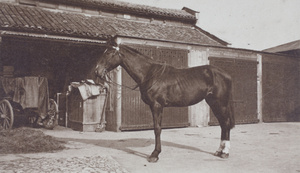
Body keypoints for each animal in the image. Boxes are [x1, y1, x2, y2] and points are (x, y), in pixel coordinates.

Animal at [95, 40, 236, 162]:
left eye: (108, 53)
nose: (97, 71)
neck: (149, 74)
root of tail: (226, 75)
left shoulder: (157, 105)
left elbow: (157, 129)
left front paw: (155, 154)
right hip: (213, 103)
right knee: (223, 124)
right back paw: (219, 151)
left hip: (220, 103)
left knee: (226, 123)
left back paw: (225, 152)